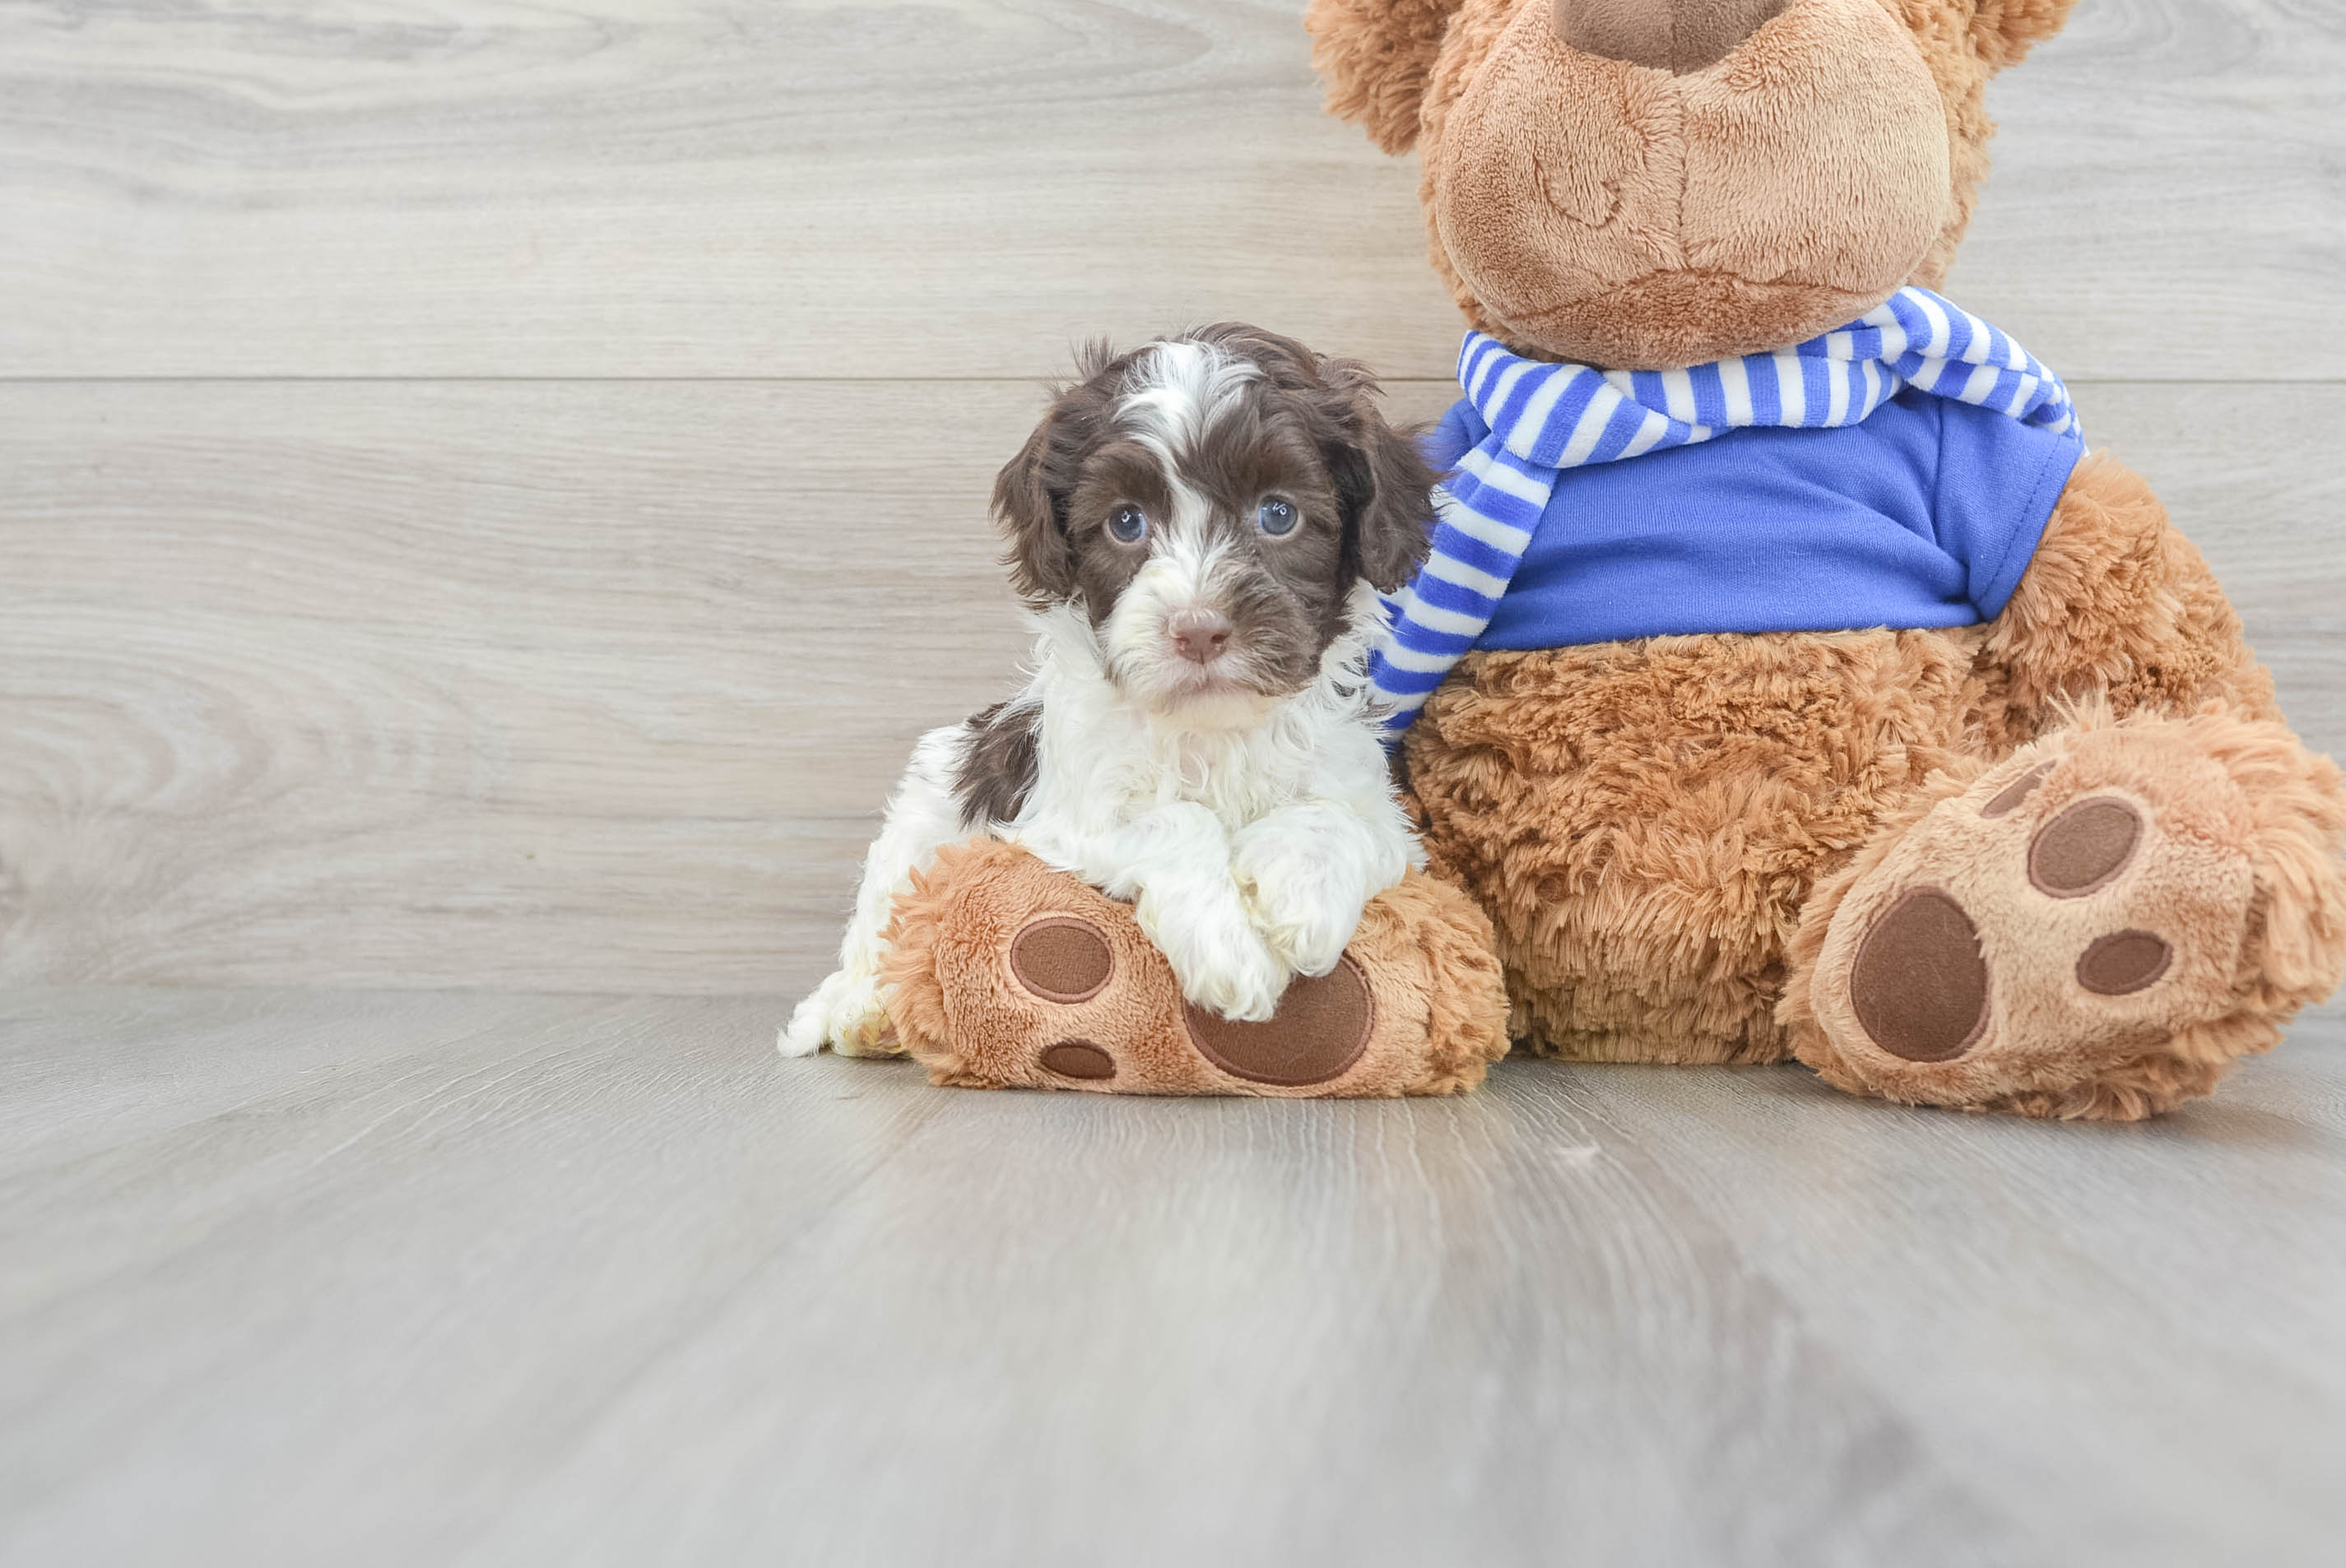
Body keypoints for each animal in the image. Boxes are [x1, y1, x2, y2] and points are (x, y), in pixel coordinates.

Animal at [787, 318, 1435, 1059]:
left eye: (1278, 514)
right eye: (1126, 522)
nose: (1198, 630)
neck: (1211, 728)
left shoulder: (1381, 810)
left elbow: (1335, 816)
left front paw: (1300, 899)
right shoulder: (1061, 813)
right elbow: (1174, 819)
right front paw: (1228, 950)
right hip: (928, 800)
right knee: (880, 916)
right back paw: (858, 1007)